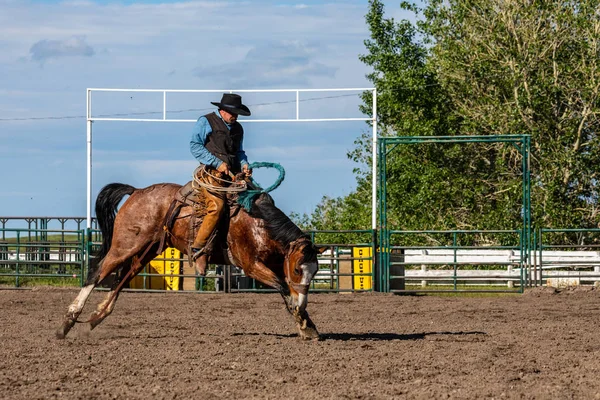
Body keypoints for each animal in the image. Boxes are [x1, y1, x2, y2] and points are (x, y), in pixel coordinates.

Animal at [58, 180, 322, 340]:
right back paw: (67, 322)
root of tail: (137, 191)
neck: (258, 222)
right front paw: (303, 321)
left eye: (314, 272)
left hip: (147, 251)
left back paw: (96, 317)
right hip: (125, 245)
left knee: (123, 278)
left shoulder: (276, 263)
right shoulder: (250, 265)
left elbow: (286, 291)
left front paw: (308, 325)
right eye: (298, 269)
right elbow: (283, 287)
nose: (303, 304)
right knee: (97, 273)